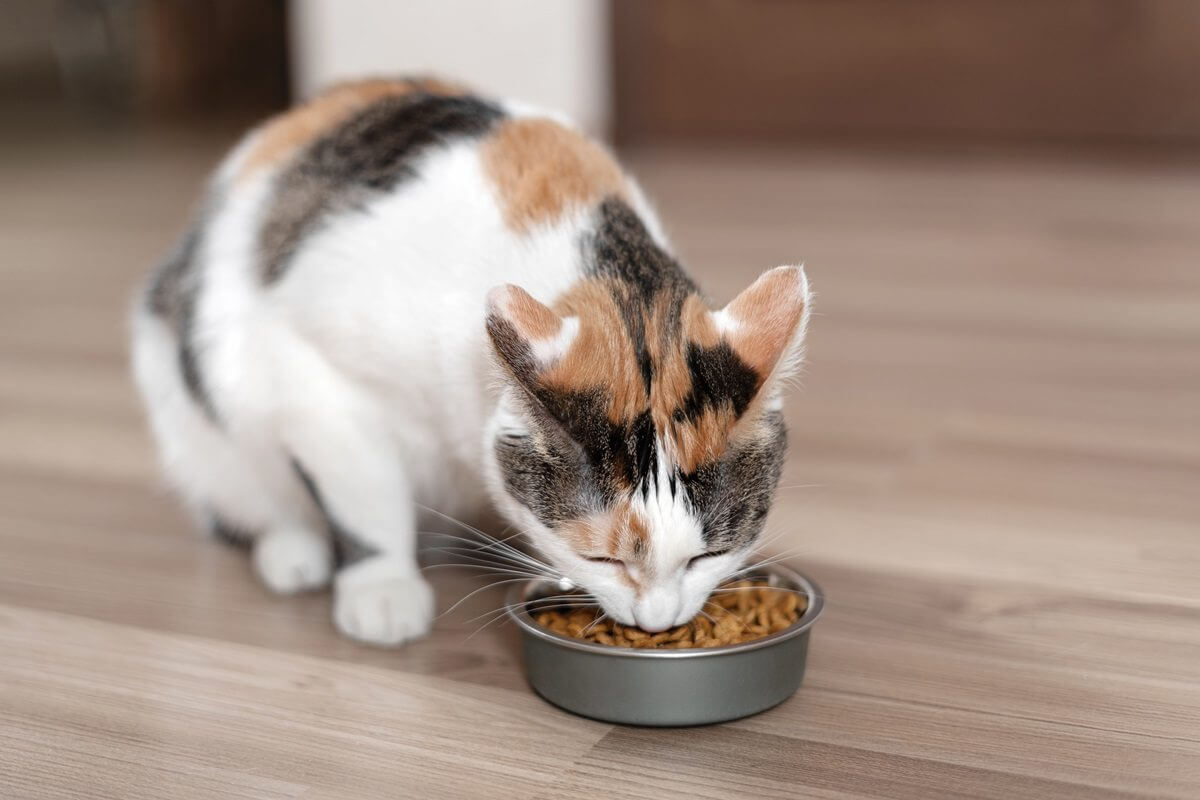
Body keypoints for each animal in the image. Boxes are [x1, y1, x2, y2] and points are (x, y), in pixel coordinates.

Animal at [131, 77, 811, 647]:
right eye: (602, 559)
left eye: (708, 555)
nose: (658, 622)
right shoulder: (316, 375)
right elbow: (365, 493)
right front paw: (383, 588)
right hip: (194, 408)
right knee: (249, 497)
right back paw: (294, 552)